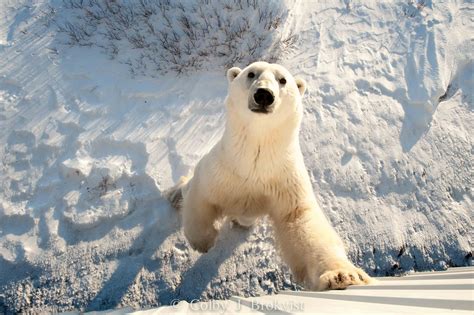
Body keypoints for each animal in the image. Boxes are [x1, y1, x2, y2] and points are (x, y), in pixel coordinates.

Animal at [167, 61, 374, 292]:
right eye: (251, 74)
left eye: (283, 80)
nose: (264, 95)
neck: (255, 157)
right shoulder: (222, 169)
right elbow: (201, 196)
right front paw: (203, 242)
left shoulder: (284, 178)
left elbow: (301, 218)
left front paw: (342, 275)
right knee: (187, 187)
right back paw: (175, 194)